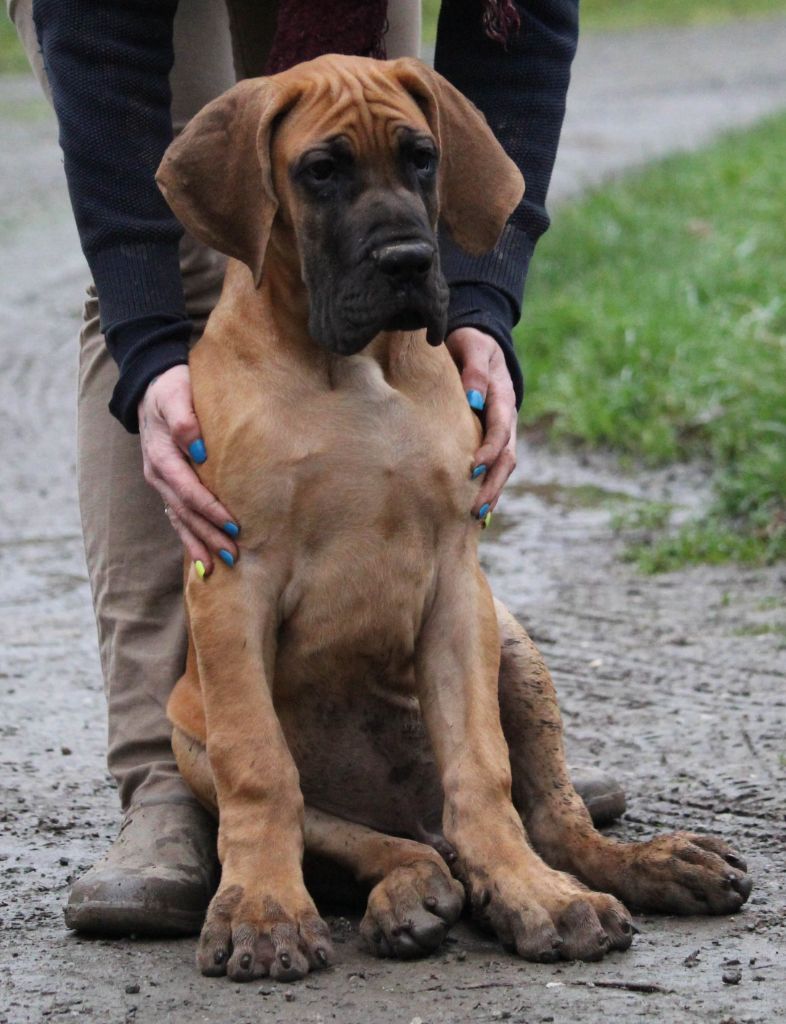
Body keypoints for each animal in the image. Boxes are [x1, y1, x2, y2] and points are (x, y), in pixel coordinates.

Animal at [157, 55, 752, 983]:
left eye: (423, 159)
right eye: (320, 171)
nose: (408, 259)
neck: (352, 369)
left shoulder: (455, 584)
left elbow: (482, 770)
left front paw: (535, 896)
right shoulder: (229, 580)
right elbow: (260, 767)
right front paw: (262, 910)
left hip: (510, 637)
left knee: (551, 821)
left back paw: (640, 866)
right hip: (191, 739)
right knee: (374, 841)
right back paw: (407, 894)